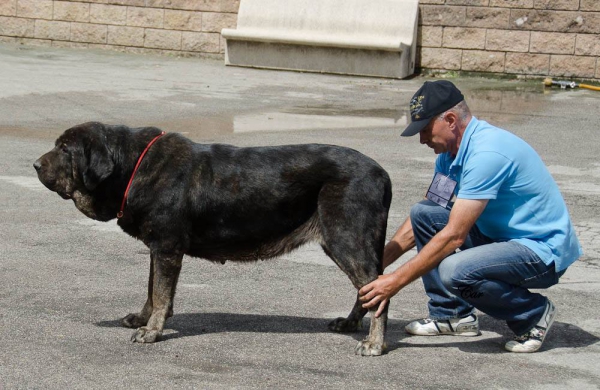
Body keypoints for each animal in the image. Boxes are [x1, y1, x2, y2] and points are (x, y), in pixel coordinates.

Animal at [36, 122, 394, 356]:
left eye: (65, 149)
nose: (36, 164)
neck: (133, 167)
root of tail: (383, 174)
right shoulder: (158, 249)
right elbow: (152, 289)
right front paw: (143, 317)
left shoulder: (167, 248)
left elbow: (161, 294)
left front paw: (152, 331)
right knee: (369, 289)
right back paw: (350, 324)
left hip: (346, 239)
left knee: (378, 289)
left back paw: (375, 343)